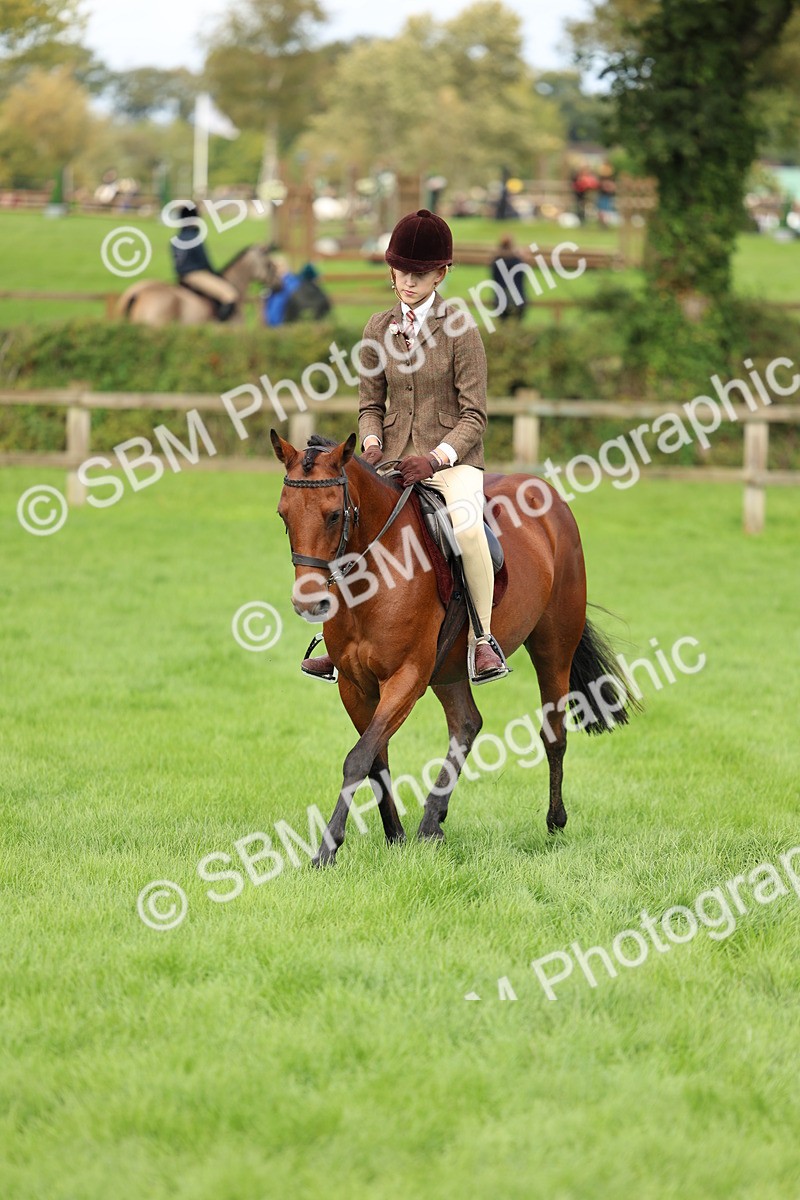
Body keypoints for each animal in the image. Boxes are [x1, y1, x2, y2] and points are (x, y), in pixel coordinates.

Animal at [271, 431, 639, 866]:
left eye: (332, 515)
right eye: (284, 515)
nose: (307, 603)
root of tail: (546, 493)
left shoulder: (407, 678)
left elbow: (358, 758)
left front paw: (327, 849)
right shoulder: (354, 685)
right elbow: (375, 758)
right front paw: (395, 835)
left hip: (552, 646)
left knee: (553, 731)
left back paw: (555, 821)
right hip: (449, 668)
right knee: (466, 724)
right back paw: (432, 822)